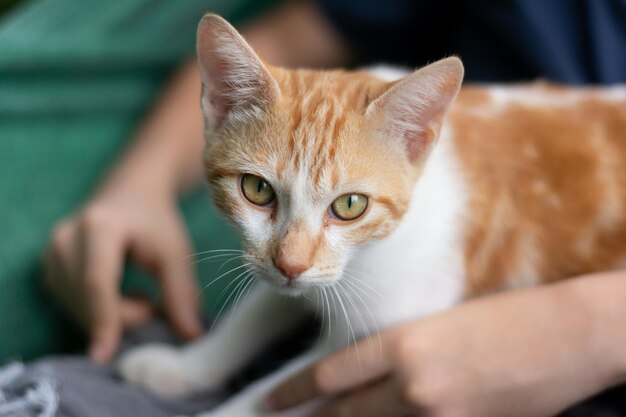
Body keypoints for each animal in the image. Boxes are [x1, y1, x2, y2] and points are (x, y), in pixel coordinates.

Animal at [117, 13, 624, 416]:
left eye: (350, 205)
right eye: (257, 190)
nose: (291, 265)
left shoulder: (389, 326)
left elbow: (271, 396)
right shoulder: (282, 267)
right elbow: (257, 311)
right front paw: (184, 366)